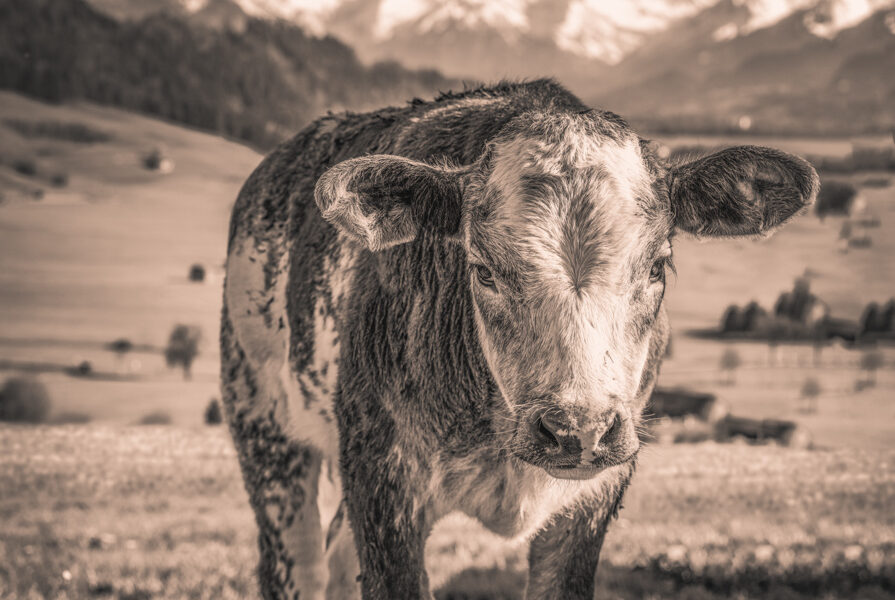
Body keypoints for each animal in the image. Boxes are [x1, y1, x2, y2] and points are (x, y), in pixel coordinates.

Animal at [219, 79, 820, 600]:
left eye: (657, 267)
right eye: (483, 270)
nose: (578, 430)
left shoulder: (594, 497)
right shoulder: (384, 482)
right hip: (263, 425)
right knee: (297, 565)